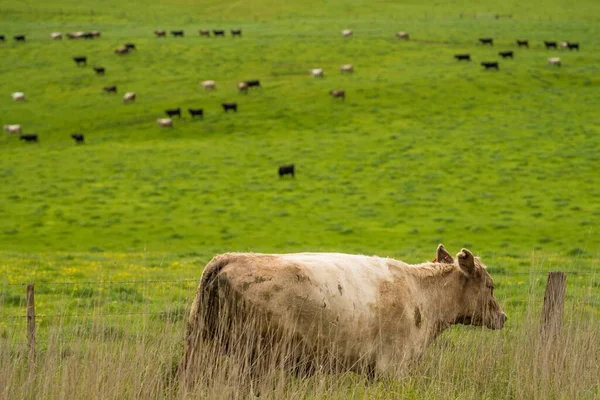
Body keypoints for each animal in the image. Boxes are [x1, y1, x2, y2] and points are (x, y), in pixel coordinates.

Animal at [182, 245, 506, 380]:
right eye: (490, 285)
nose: (503, 317)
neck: (421, 294)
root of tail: (229, 258)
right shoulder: (393, 368)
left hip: (201, 347)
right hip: (254, 358)